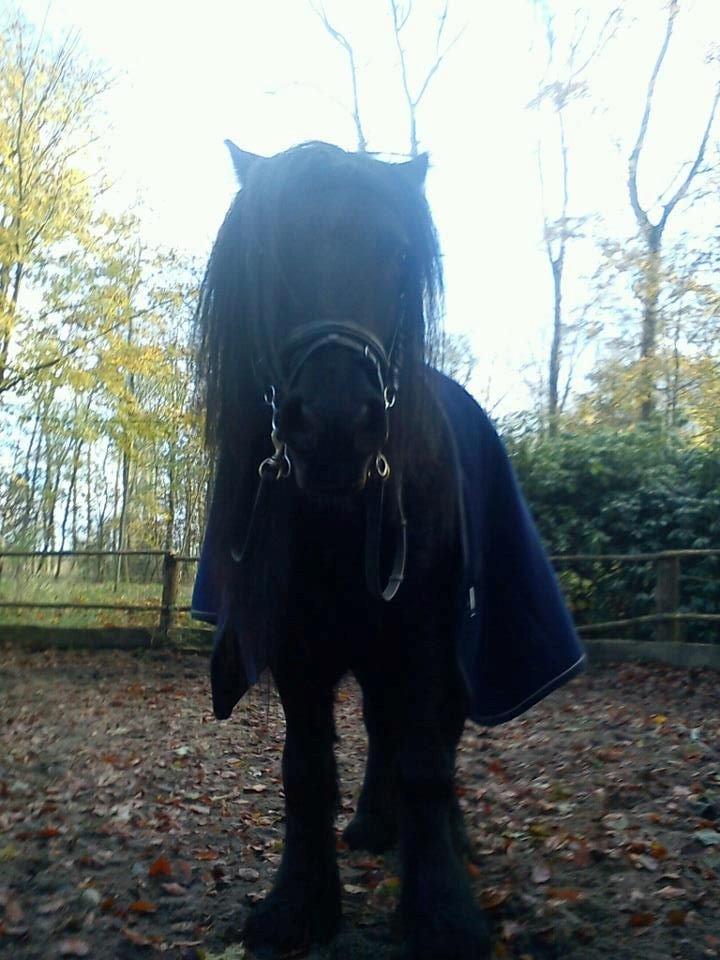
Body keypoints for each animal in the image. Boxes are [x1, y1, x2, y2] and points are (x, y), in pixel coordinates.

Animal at [192, 141, 584, 960]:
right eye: (271, 251)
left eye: (399, 256)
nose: (336, 425)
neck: (342, 516)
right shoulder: (300, 648)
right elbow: (307, 766)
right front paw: (299, 906)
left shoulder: (427, 637)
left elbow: (429, 760)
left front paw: (442, 915)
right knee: (380, 725)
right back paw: (375, 824)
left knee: (431, 735)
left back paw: (442, 838)